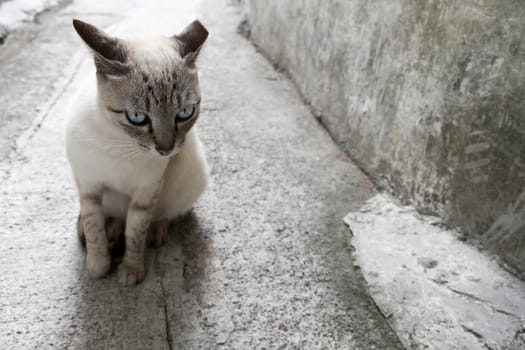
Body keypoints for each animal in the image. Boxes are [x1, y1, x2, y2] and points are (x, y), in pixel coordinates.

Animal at [63, 19, 207, 286]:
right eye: (137, 117)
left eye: (185, 113)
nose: (165, 150)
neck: (122, 144)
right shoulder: (88, 185)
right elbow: (94, 227)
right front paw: (98, 267)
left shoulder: (146, 192)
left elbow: (135, 233)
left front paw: (131, 270)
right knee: (108, 219)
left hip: (191, 175)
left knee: (165, 214)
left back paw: (155, 232)